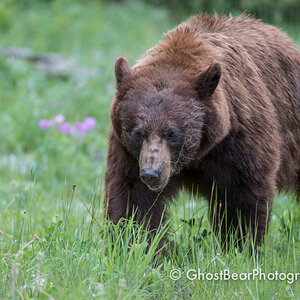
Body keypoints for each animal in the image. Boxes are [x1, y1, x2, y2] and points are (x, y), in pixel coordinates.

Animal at [103, 12, 300, 246]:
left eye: (172, 133)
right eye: (137, 133)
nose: (151, 173)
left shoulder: (240, 138)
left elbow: (242, 197)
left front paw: (240, 244)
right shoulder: (128, 153)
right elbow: (133, 199)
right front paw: (135, 243)